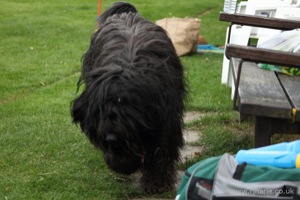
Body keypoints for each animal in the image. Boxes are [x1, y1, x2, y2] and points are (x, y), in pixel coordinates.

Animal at [71, 1, 186, 192]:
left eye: (125, 106)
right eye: (100, 109)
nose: (111, 137)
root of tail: (126, 14)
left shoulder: (165, 116)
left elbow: (161, 147)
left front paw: (156, 182)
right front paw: (123, 163)